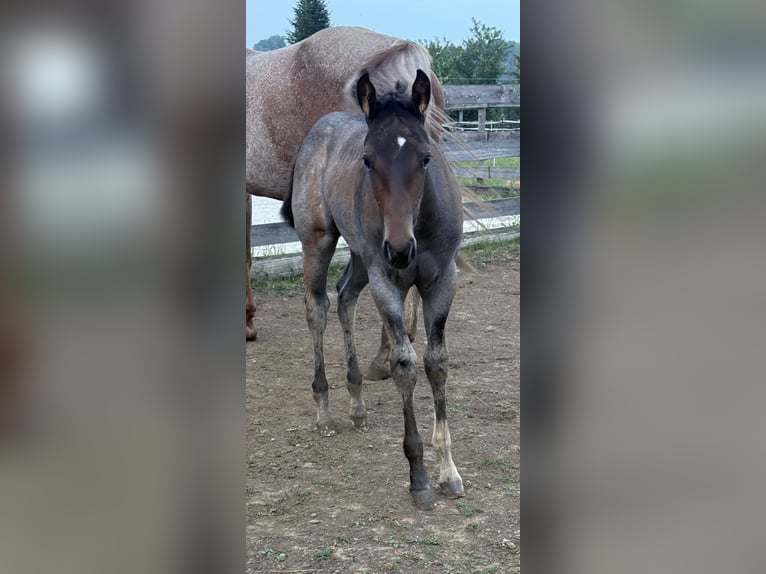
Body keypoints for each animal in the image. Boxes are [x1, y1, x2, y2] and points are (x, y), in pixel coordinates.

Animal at [281, 70, 464, 510]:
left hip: (362, 256)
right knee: (318, 308)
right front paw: (419, 478)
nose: (399, 250)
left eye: (426, 158)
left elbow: (437, 363)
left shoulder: (442, 281)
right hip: (322, 242)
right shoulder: (387, 283)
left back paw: (357, 403)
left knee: (345, 295)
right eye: (367, 160)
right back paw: (325, 410)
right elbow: (405, 365)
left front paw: (449, 471)